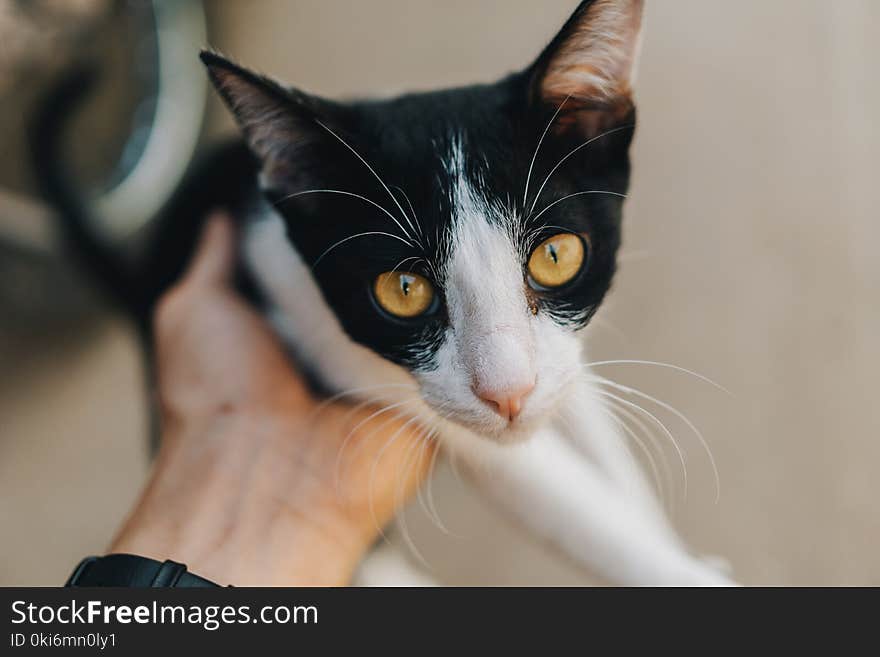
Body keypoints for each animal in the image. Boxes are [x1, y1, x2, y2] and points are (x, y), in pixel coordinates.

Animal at [36, 0, 728, 584]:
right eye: (403, 289)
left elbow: (583, 407)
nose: (508, 394)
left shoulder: (558, 355)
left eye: (556, 256)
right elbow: (558, 500)